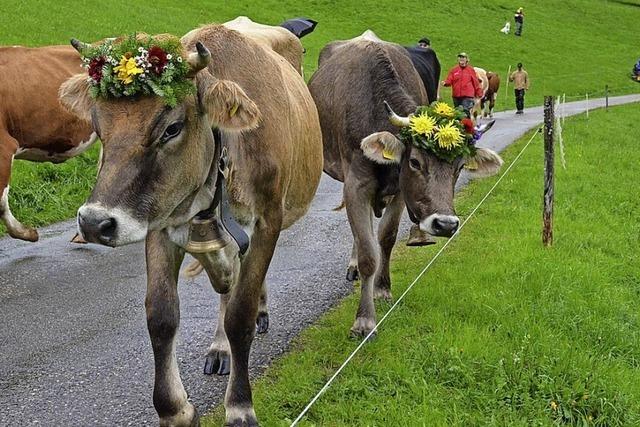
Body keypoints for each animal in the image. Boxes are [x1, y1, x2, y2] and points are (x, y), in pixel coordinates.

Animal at [59, 24, 320, 427]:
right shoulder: (158, 221)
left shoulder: (268, 222)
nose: (94, 222)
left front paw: (240, 406)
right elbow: (161, 315)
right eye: (98, 127)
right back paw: (220, 349)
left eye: (172, 128)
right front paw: (175, 409)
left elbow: (240, 315)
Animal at [308, 29, 502, 338]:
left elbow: (386, 238)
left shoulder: (400, 191)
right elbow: (368, 252)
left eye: (460, 167)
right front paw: (364, 321)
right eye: (414, 162)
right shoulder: (356, 183)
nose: (445, 224)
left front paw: (382, 289)